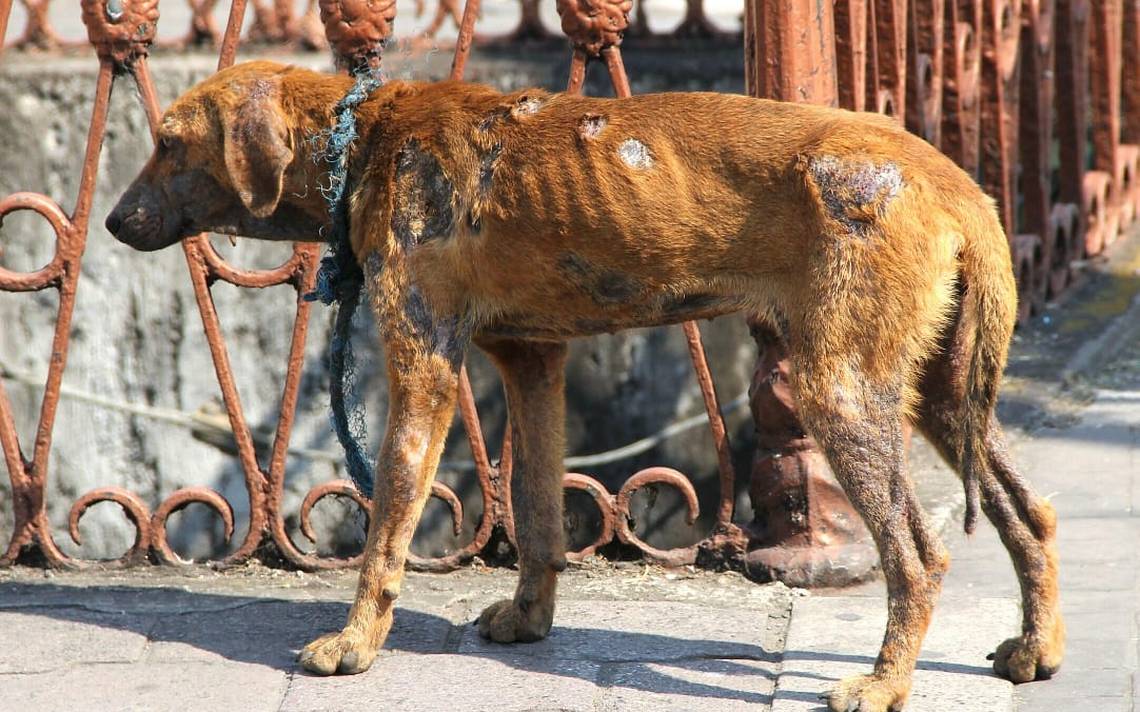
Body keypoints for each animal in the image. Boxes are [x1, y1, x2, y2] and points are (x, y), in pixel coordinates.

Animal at [104, 62, 1057, 710]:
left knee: (919, 555)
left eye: (168, 143)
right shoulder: (532, 362)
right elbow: (533, 511)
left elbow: (388, 526)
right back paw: (1035, 648)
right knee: (1030, 513)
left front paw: (355, 643)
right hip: (938, 391)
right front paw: (530, 621)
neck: (365, 137)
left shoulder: (426, 365)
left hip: (843, 390)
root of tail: (957, 185)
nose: (112, 221)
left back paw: (885, 684)